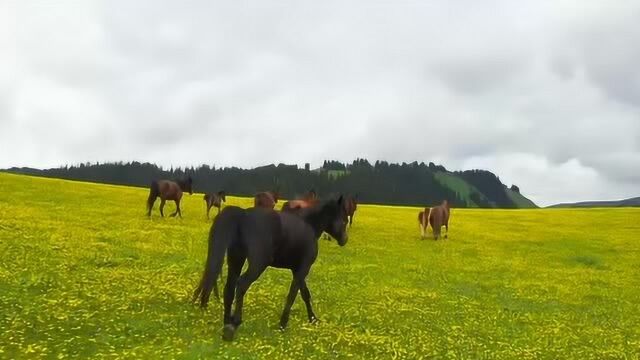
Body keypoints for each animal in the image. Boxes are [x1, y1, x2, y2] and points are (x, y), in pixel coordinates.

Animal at [192, 197, 348, 340]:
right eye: (344, 220)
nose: (344, 240)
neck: (309, 226)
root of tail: (243, 215)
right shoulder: (303, 268)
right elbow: (292, 295)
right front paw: (283, 324)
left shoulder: (296, 269)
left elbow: (305, 294)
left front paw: (313, 319)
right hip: (257, 264)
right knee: (241, 284)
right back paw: (234, 324)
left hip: (236, 260)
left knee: (229, 288)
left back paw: (226, 324)